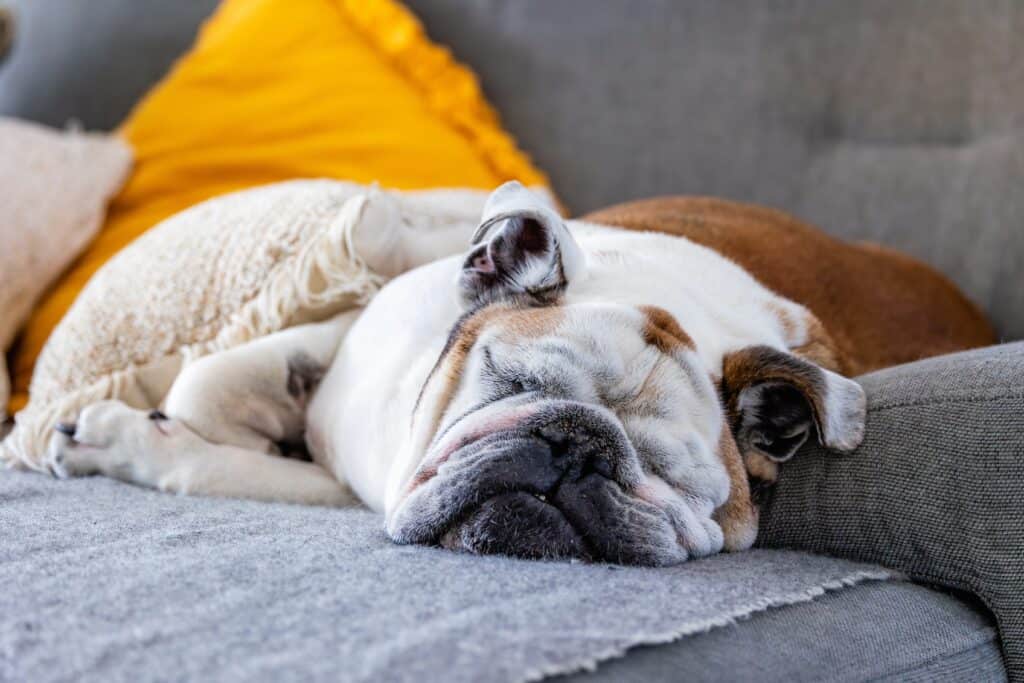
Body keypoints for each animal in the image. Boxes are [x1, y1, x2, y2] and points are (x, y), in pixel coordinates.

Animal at [45, 182, 994, 566]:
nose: (575, 447)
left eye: (679, 480)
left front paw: (123, 438)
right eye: (507, 377)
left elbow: (208, 455)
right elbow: (209, 382)